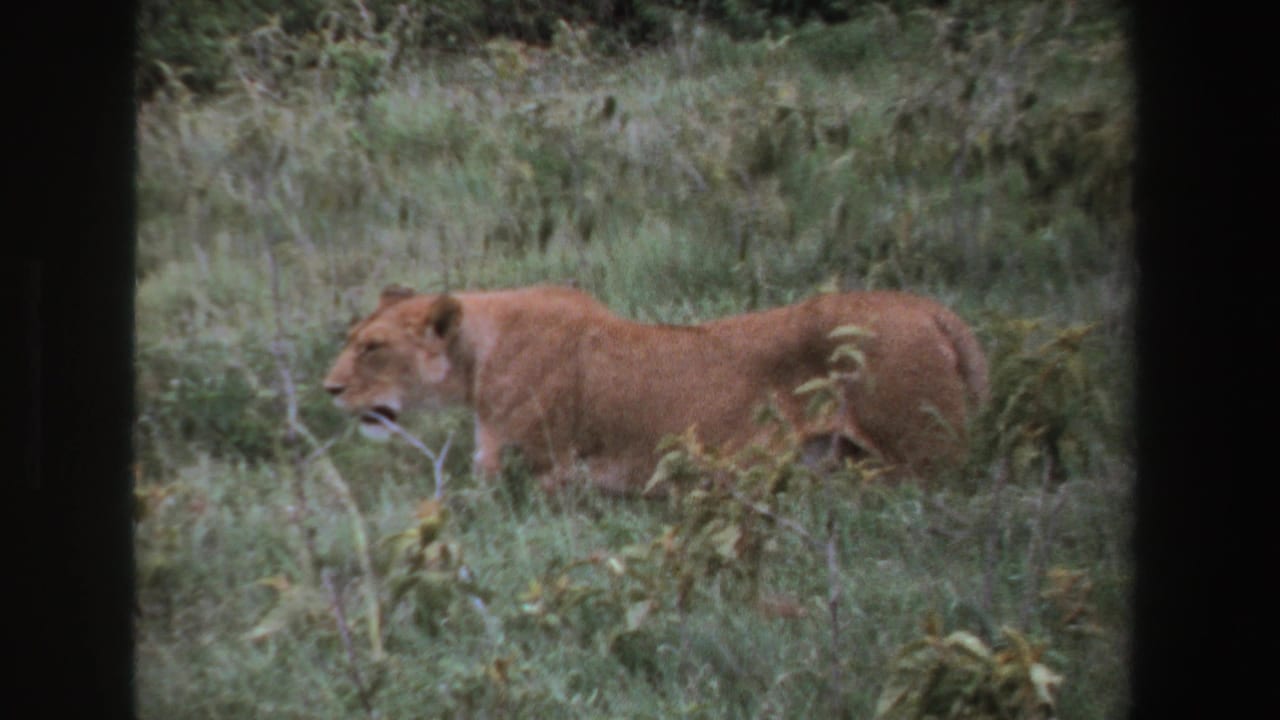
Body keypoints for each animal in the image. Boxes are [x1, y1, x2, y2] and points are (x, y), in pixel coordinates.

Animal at [323, 284, 988, 494]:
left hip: (925, 461)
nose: (329, 389)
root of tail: (932, 310)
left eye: (372, 347)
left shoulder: (532, 475)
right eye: (352, 337)